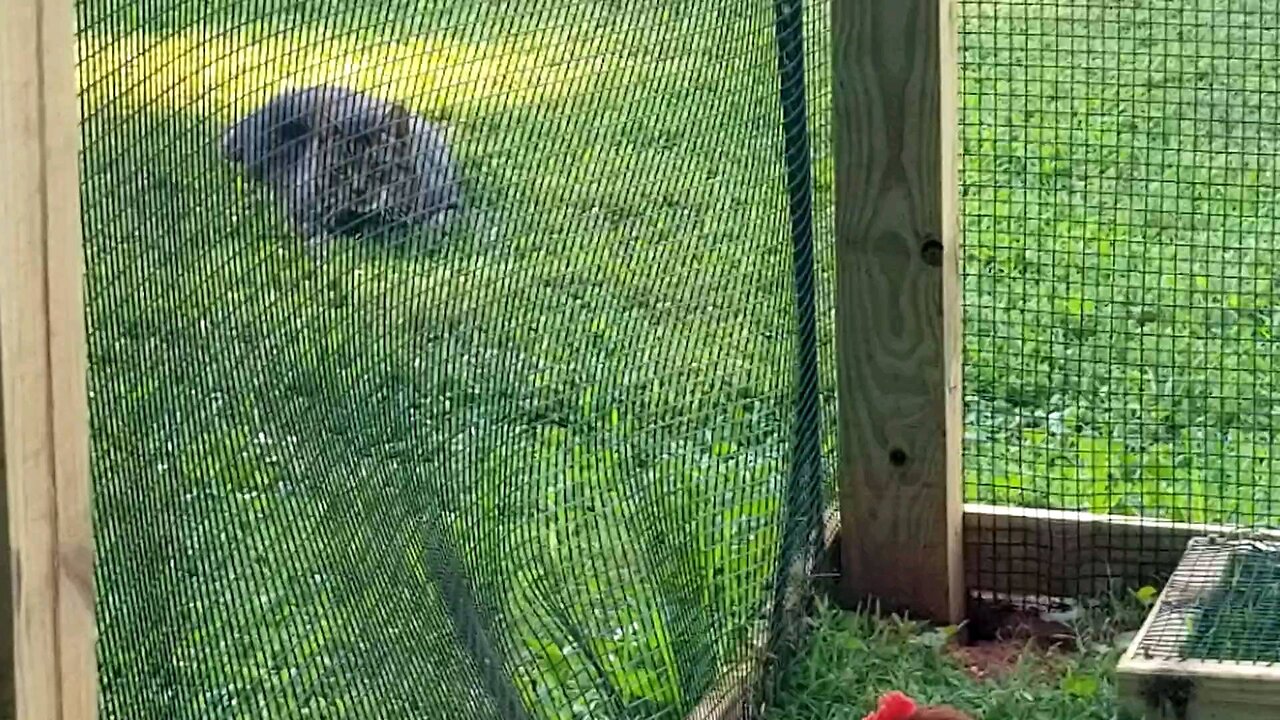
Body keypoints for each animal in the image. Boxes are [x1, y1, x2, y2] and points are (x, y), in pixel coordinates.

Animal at [220, 84, 465, 243]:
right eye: (340, 170)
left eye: (377, 166)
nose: (358, 190)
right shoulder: (300, 204)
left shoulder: (448, 201)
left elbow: (439, 218)